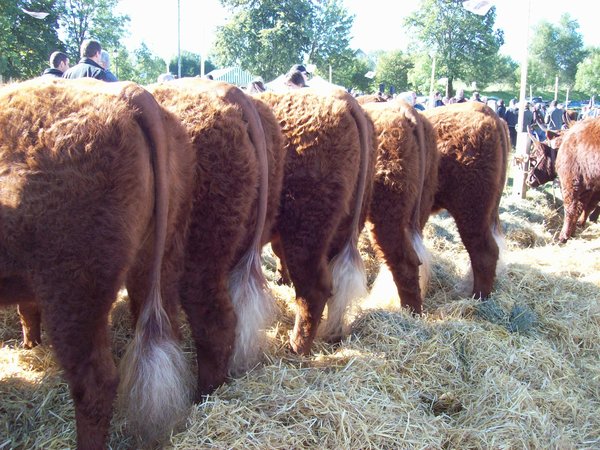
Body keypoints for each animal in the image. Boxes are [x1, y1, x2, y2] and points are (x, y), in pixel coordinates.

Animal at [0, 77, 197, 446]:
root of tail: (130, 94)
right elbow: (26, 308)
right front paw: (31, 343)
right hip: (159, 262)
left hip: (73, 292)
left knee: (95, 384)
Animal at [258, 88, 376, 356]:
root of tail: (345, 99)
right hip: (343, 227)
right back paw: (333, 334)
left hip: (305, 231)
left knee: (314, 290)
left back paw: (297, 346)